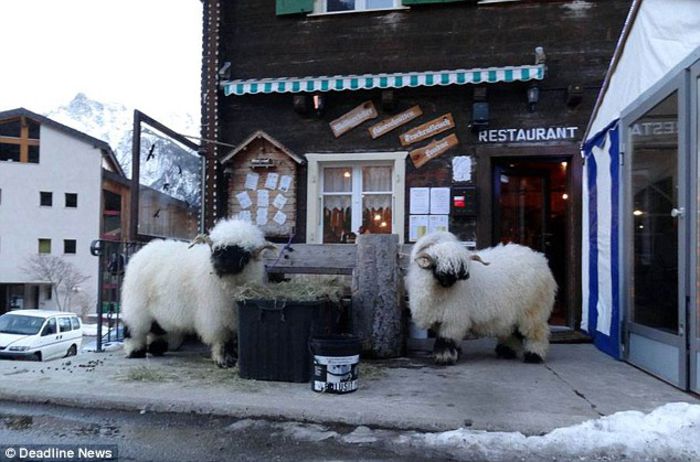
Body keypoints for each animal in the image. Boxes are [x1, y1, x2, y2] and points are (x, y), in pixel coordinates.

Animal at [119, 217, 274, 368]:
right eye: (216, 249)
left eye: (244, 254)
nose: (220, 264)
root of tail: (144, 249)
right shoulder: (216, 317)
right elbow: (222, 339)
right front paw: (223, 360)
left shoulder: (233, 317)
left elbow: (234, 339)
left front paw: (233, 359)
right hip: (136, 304)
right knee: (134, 328)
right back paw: (135, 351)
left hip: (157, 309)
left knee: (157, 328)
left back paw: (157, 349)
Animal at [404, 233, 556, 366]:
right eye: (438, 262)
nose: (464, 276)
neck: (440, 290)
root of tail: (539, 258)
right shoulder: (439, 319)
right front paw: (455, 354)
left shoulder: (454, 319)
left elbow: (446, 340)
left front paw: (444, 359)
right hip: (515, 312)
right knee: (514, 332)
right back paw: (506, 352)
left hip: (534, 309)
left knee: (537, 333)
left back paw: (534, 356)